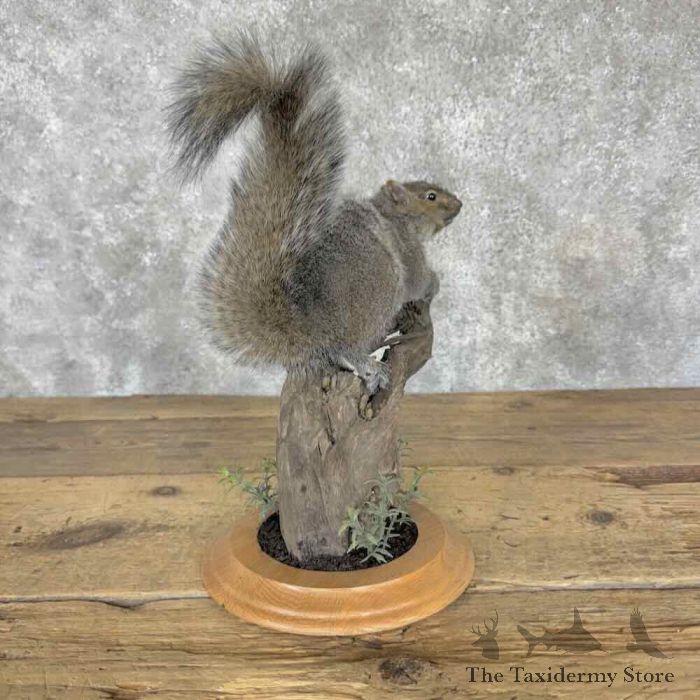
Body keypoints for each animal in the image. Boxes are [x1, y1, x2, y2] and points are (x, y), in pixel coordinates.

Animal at [166, 33, 462, 393]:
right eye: (430, 196)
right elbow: (418, 279)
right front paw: (434, 281)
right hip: (379, 286)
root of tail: (311, 329)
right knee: (344, 348)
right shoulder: (406, 247)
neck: (396, 216)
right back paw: (366, 363)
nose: (459, 204)